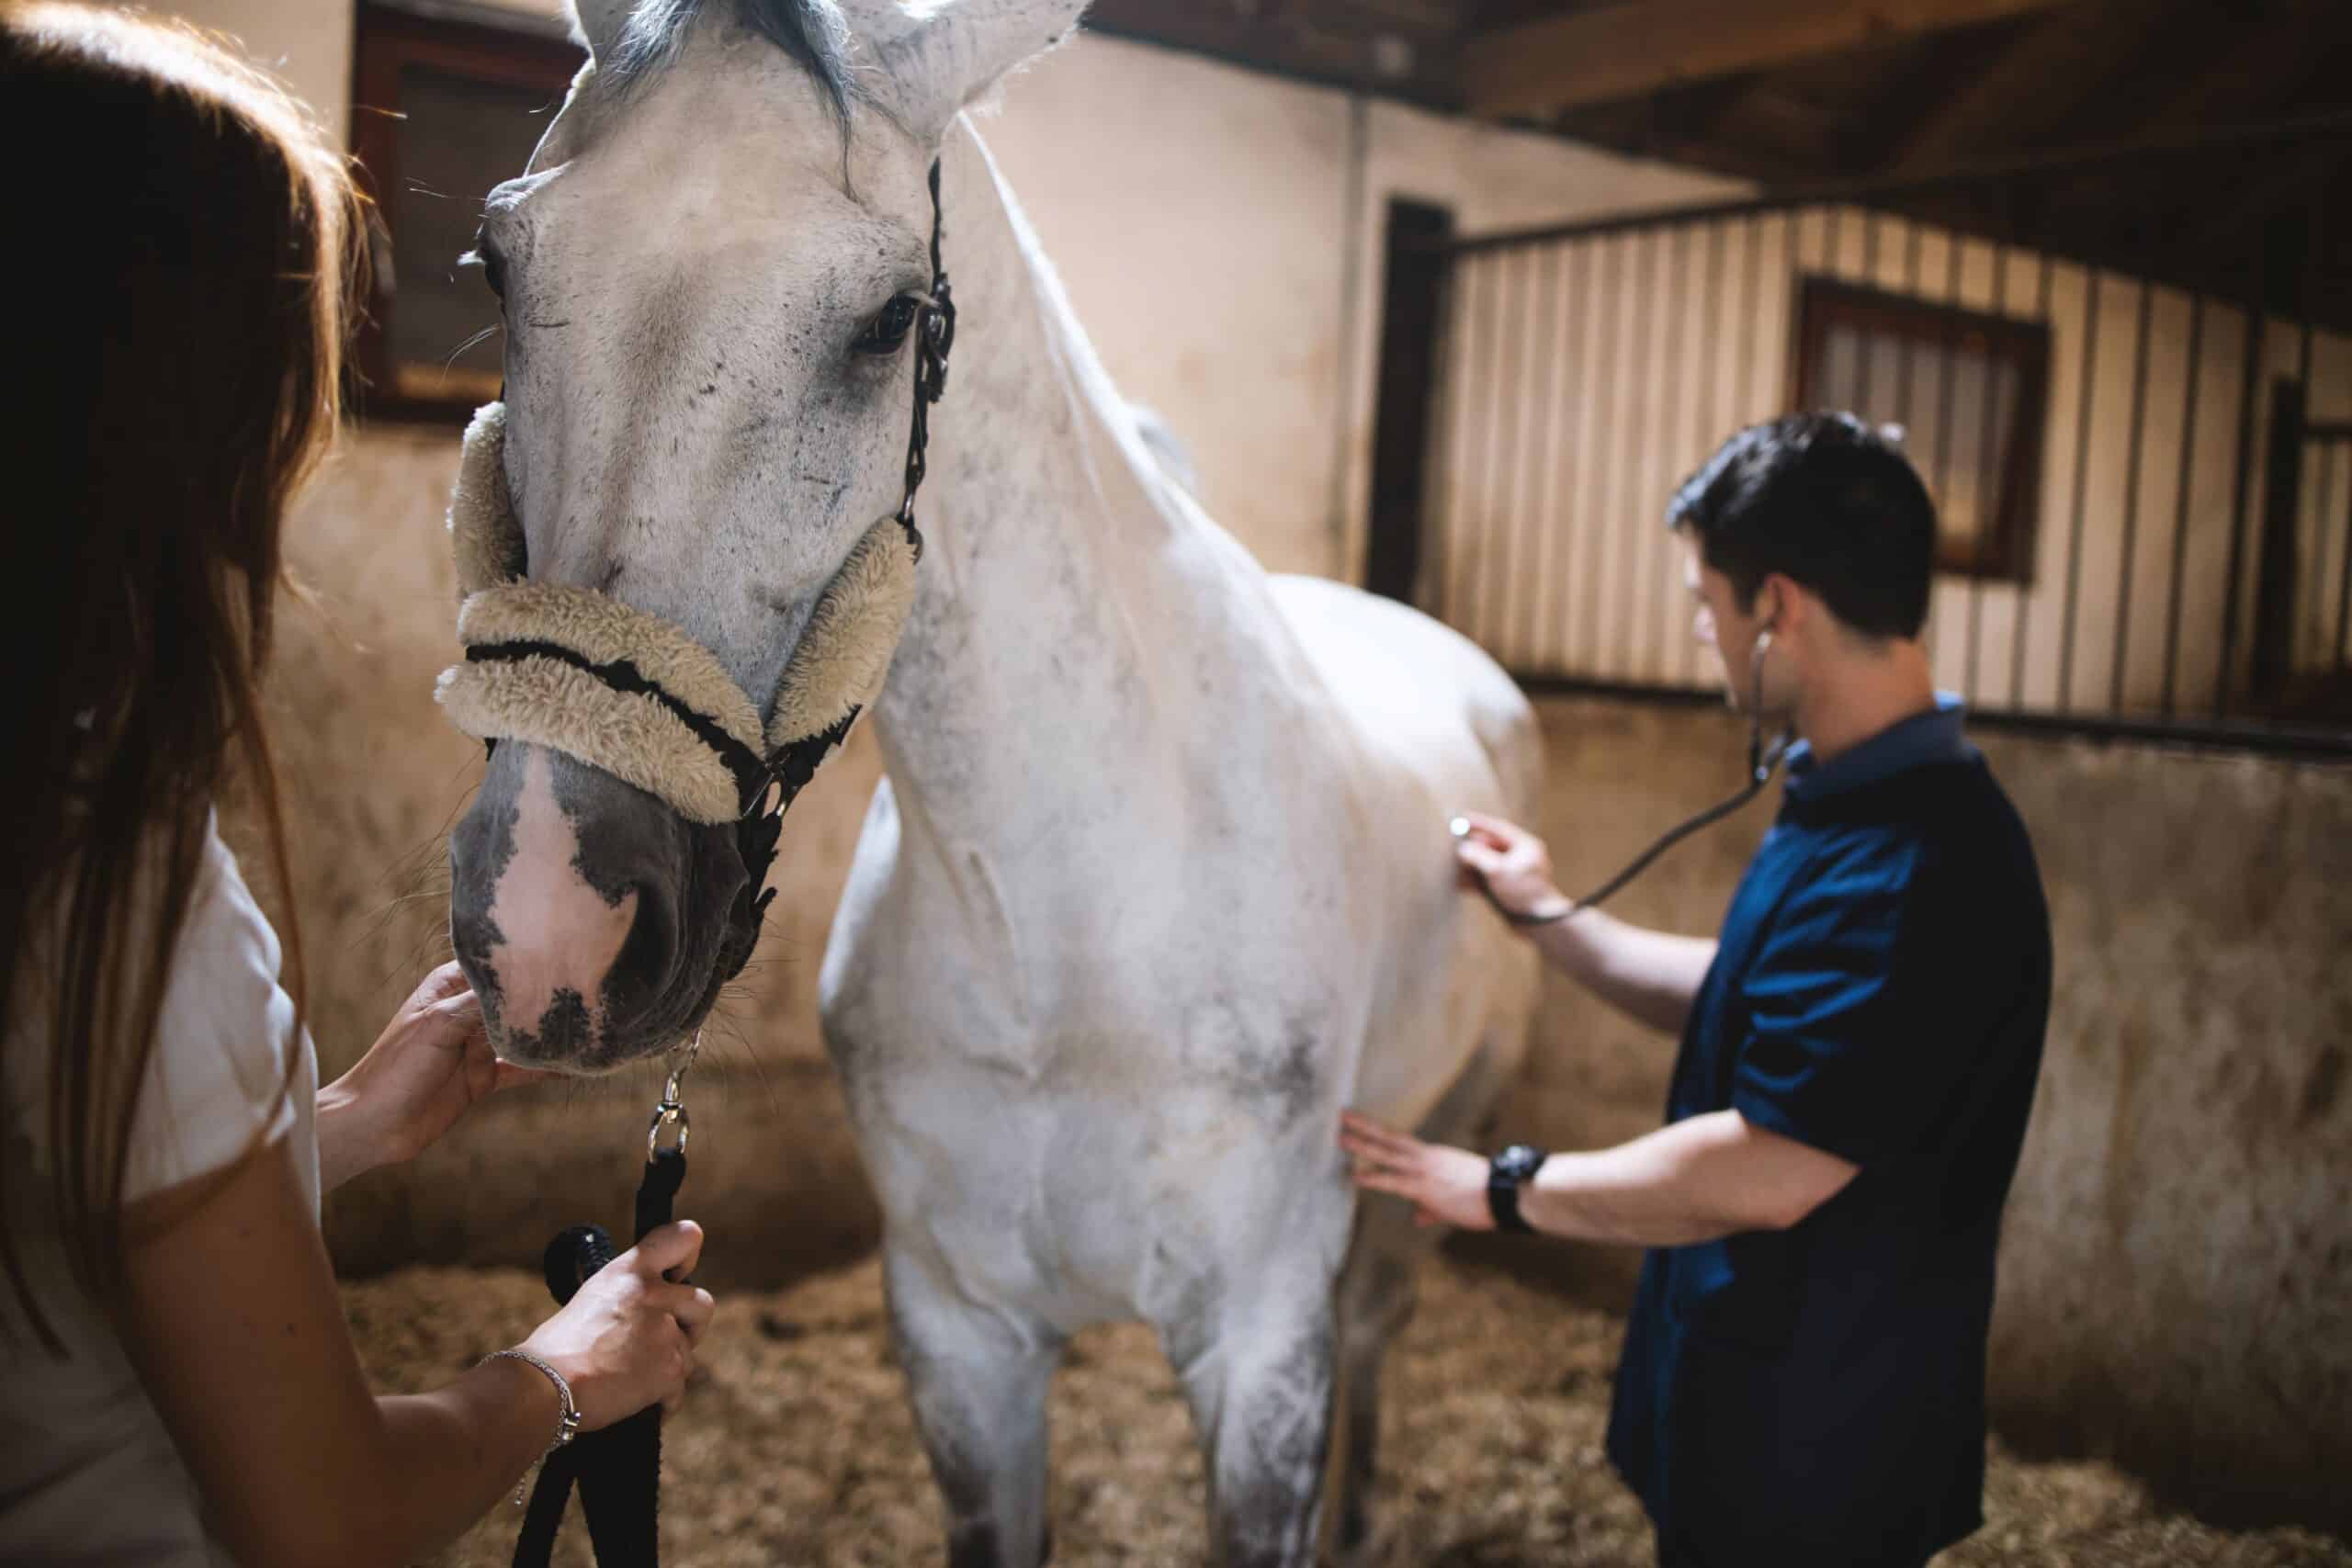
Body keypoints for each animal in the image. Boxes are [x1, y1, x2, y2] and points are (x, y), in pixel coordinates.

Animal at [442, 6, 1543, 1561]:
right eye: (499, 259)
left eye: (888, 318)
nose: (553, 919)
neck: (1062, 914)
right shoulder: (961, 1338)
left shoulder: (1259, 1345)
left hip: (1426, 1156)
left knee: (1380, 1319)